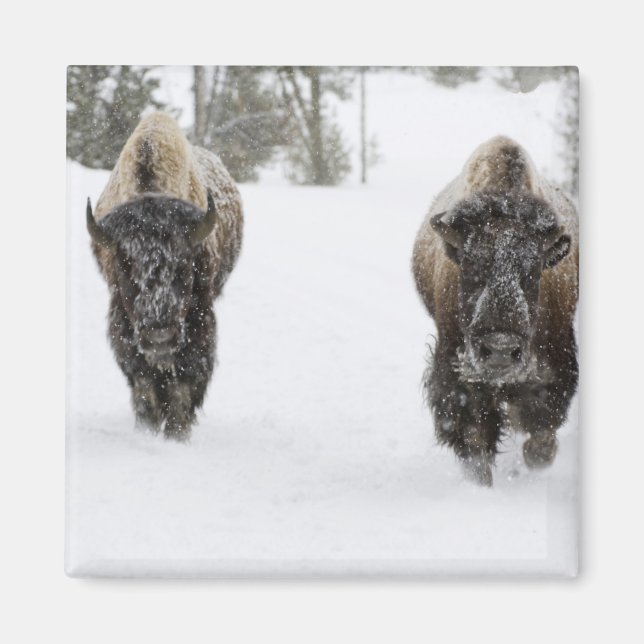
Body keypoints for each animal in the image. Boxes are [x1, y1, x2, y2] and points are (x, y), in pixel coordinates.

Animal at [87, 112, 243, 441]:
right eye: (125, 267)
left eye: (184, 266)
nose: (159, 336)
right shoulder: (124, 322)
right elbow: (144, 381)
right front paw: (147, 429)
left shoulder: (199, 319)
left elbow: (184, 380)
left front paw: (177, 434)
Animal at [412, 136, 578, 485]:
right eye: (470, 264)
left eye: (533, 269)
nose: (500, 350)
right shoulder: (458, 376)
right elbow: (475, 439)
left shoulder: (554, 369)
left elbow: (541, 436)